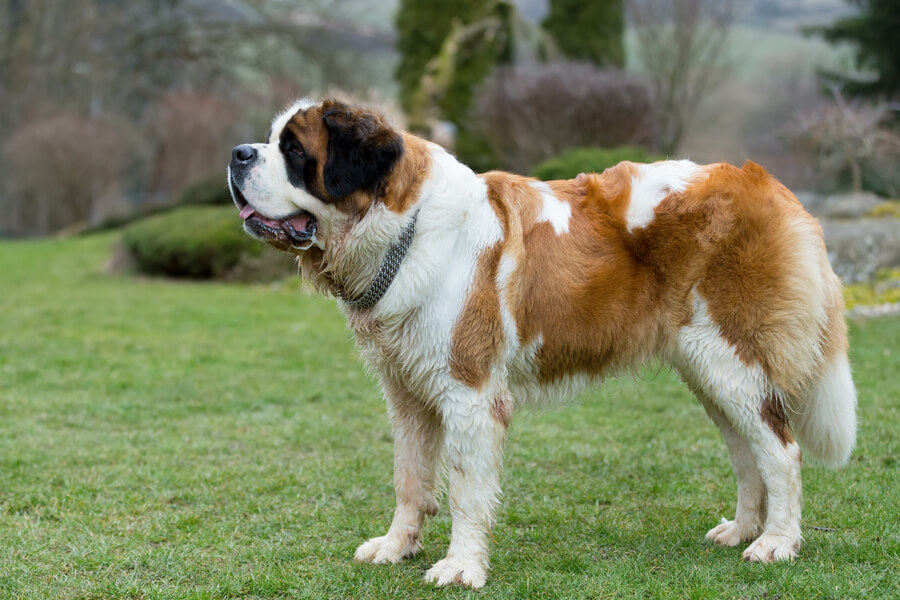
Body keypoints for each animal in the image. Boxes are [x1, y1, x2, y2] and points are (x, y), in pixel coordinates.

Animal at [225, 97, 856, 584]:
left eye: (294, 150)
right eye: (270, 141)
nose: (237, 153)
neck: (405, 228)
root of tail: (766, 183)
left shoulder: (468, 391)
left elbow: (465, 487)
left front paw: (461, 567)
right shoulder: (405, 392)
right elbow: (410, 477)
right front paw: (397, 546)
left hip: (730, 358)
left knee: (781, 450)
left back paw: (776, 543)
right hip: (709, 370)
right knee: (747, 450)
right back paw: (743, 529)